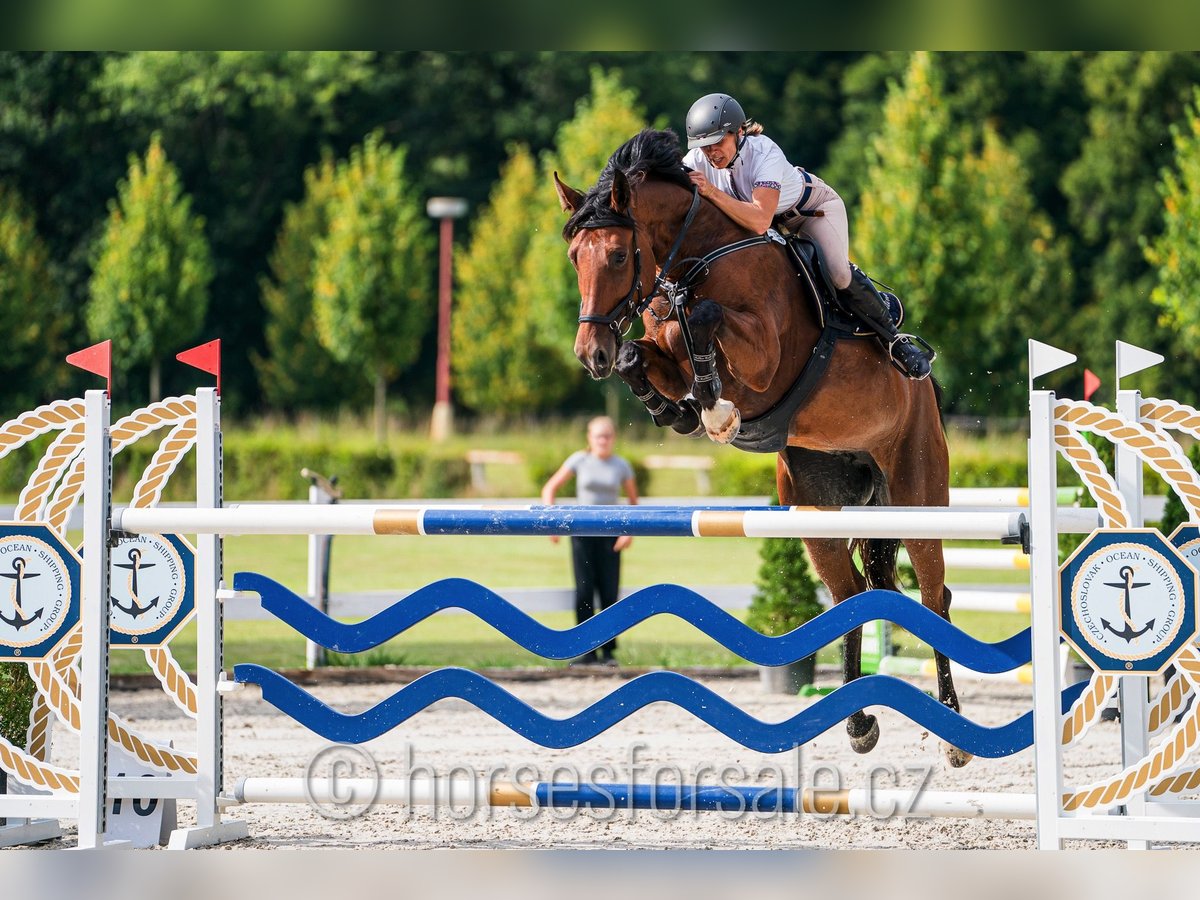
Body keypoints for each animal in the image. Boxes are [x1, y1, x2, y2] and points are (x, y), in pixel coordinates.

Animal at [554, 128, 964, 768]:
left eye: (618, 255)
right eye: (576, 256)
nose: (589, 353)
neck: (694, 261)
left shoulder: (764, 360)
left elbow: (702, 320)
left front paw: (714, 409)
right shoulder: (660, 347)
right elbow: (644, 352)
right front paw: (679, 409)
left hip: (917, 489)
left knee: (932, 596)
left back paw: (952, 731)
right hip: (815, 505)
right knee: (852, 596)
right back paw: (859, 723)